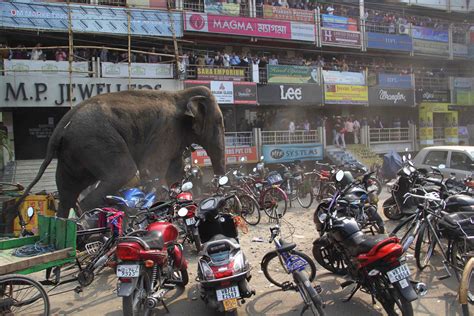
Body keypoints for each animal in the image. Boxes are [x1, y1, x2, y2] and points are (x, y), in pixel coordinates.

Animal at [17, 87, 225, 218]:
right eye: (219, 122)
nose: (217, 184)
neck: (181, 94)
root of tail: (61, 125)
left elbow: (176, 173)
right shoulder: (166, 130)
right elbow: (152, 169)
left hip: (73, 151)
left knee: (67, 191)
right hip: (96, 139)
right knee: (122, 172)